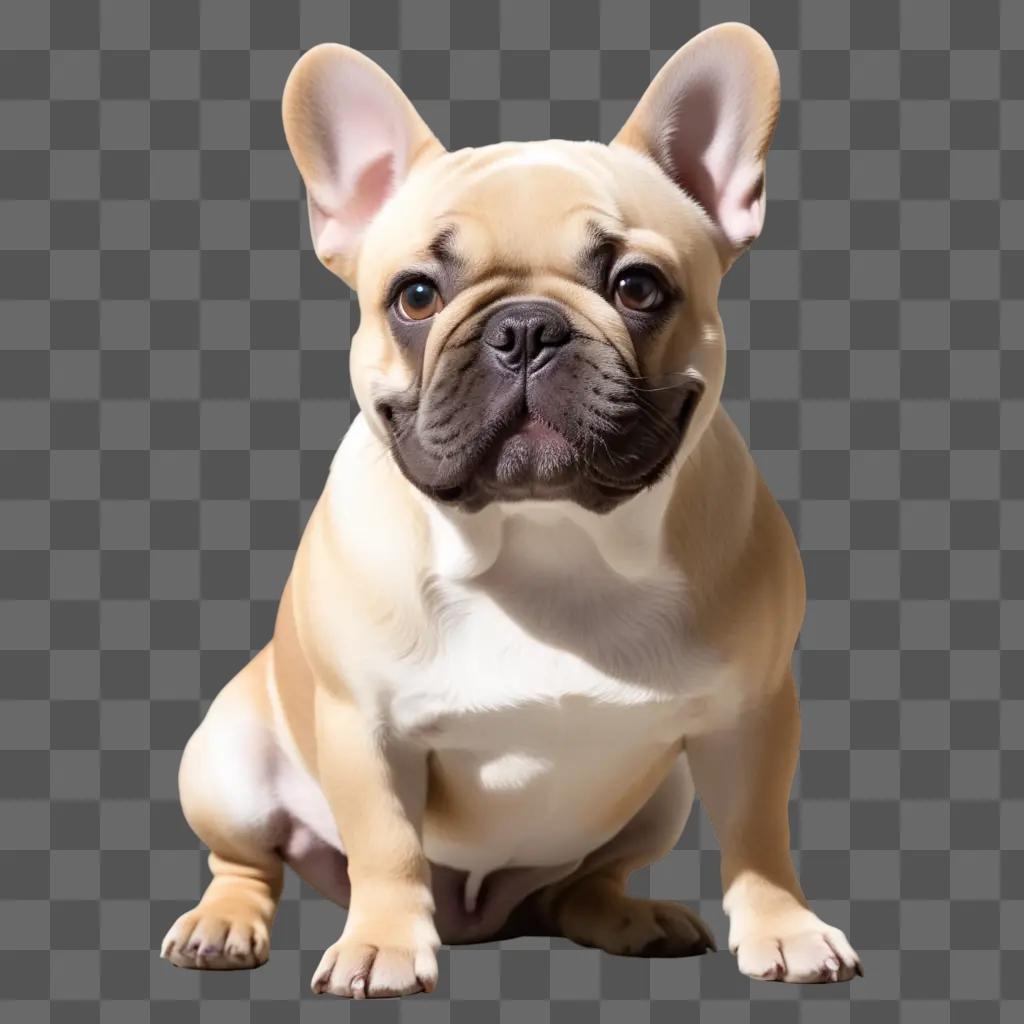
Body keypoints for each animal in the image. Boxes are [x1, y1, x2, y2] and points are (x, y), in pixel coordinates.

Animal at [159, 24, 860, 995]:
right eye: (416, 296)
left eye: (637, 286)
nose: (525, 327)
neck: (547, 539)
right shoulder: (363, 727)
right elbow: (386, 843)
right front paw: (382, 942)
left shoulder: (750, 714)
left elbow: (758, 833)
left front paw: (784, 926)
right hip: (225, 761)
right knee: (245, 860)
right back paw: (221, 924)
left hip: (662, 798)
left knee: (587, 882)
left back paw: (633, 917)